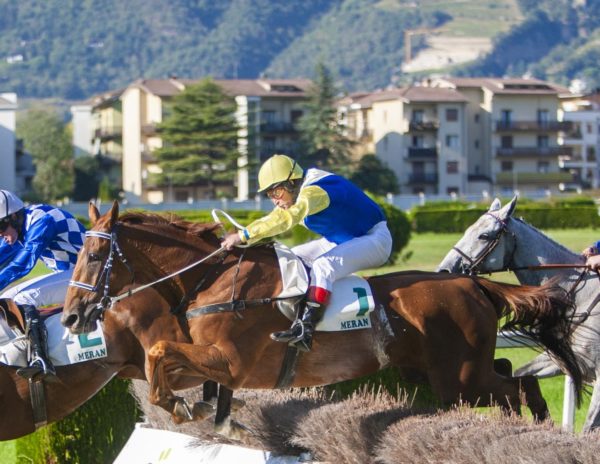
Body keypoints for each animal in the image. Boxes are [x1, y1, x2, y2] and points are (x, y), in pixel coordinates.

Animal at [59, 203, 580, 428]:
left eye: (94, 253)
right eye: (77, 251)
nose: (69, 317)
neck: (215, 280)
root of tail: (472, 282)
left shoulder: (232, 361)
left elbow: (159, 353)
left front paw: (178, 406)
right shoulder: (207, 360)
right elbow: (161, 361)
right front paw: (197, 407)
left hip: (459, 379)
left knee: (520, 389)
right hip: (447, 370)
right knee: (512, 375)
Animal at [436, 198, 600, 434]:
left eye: (484, 235)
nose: (445, 270)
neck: (580, 298)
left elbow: (588, 428)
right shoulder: (560, 361)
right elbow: (520, 376)